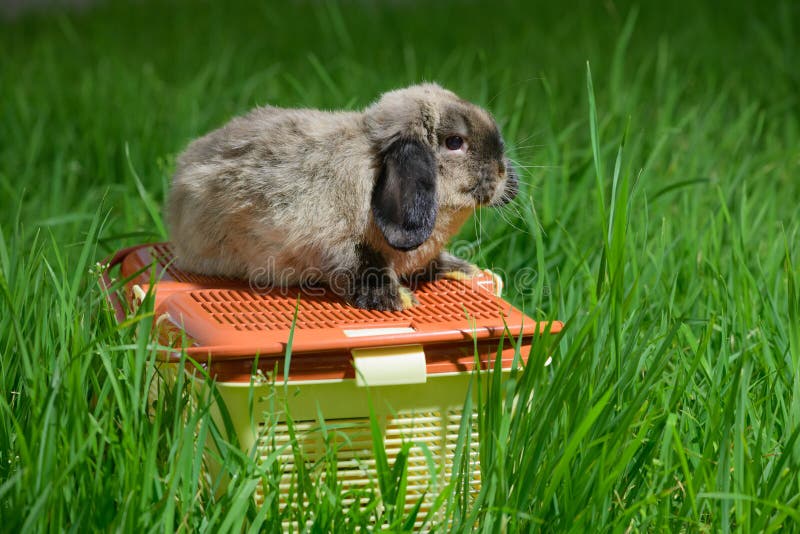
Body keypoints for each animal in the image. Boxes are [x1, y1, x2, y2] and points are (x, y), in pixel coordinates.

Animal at [167, 83, 519, 311]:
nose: (503, 173)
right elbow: (364, 266)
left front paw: (471, 272)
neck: (372, 163)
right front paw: (400, 301)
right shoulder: (334, 242)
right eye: (455, 142)